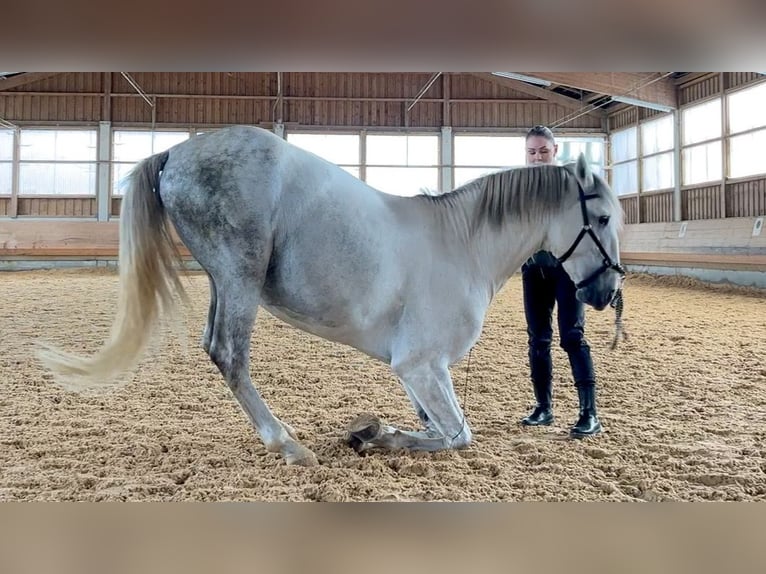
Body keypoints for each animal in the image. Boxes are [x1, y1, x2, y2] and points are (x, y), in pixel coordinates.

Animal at [40, 126, 624, 468]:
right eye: (600, 218)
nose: (606, 291)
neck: (463, 245)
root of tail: (177, 151)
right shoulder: (421, 365)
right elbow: (457, 434)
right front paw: (373, 434)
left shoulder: (416, 371)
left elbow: (439, 426)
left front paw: (375, 429)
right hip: (239, 273)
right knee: (229, 353)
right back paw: (287, 444)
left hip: (224, 281)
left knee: (217, 346)